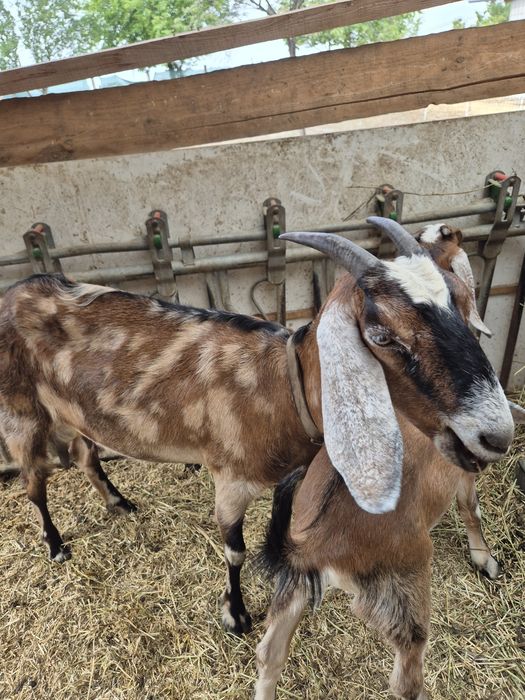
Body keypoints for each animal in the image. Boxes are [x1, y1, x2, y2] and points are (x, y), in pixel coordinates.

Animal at [0, 217, 514, 636]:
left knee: (86, 456)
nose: (496, 435)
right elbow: (236, 550)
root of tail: (14, 291)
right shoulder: (229, 479)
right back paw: (55, 545)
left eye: (458, 301)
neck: (280, 385)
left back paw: (119, 503)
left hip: (73, 413)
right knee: (33, 482)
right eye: (382, 335)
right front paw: (236, 615)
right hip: (22, 413)